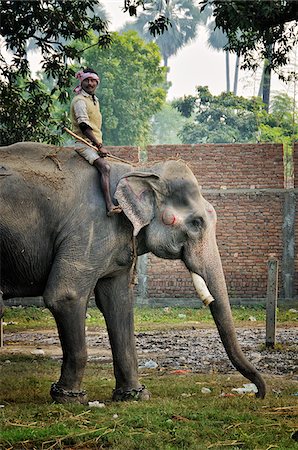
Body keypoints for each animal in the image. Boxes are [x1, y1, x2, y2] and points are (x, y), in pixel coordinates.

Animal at [0, 142, 266, 402]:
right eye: (196, 223)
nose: (257, 395)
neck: (139, 169)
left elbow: (118, 302)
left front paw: (135, 396)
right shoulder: (88, 230)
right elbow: (66, 295)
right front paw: (70, 398)